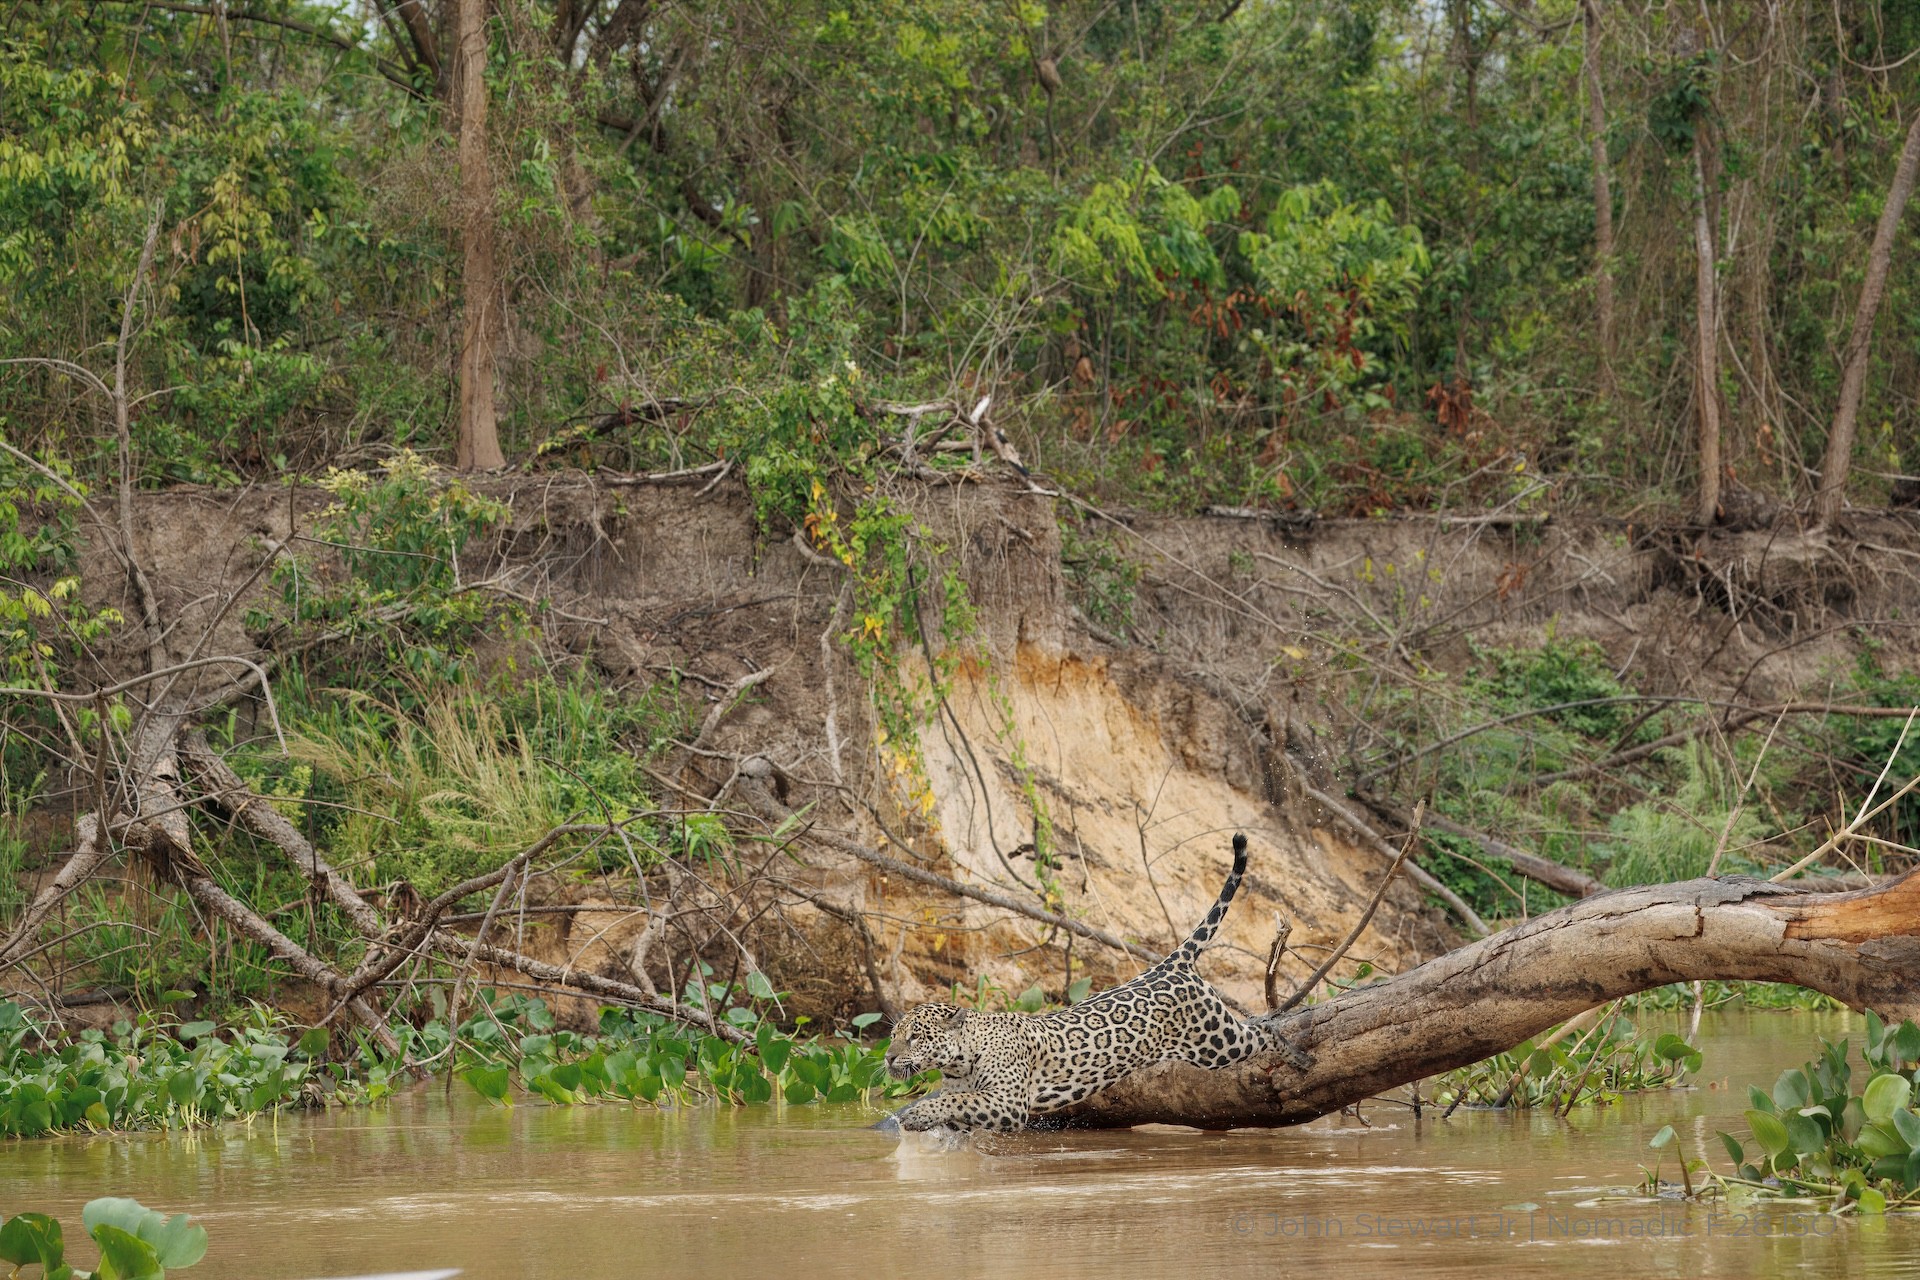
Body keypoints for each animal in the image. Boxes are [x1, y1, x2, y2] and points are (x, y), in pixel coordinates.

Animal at [884, 832, 1307, 1132]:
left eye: (915, 1037)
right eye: (891, 1036)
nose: (887, 1057)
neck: (960, 1060)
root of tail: (1170, 964)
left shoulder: (1008, 1103)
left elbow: (955, 1102)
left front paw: (918, 1115)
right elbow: (956, 1107)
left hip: (1217, 1043)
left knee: (1264, 1031)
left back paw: (1299, 1058)